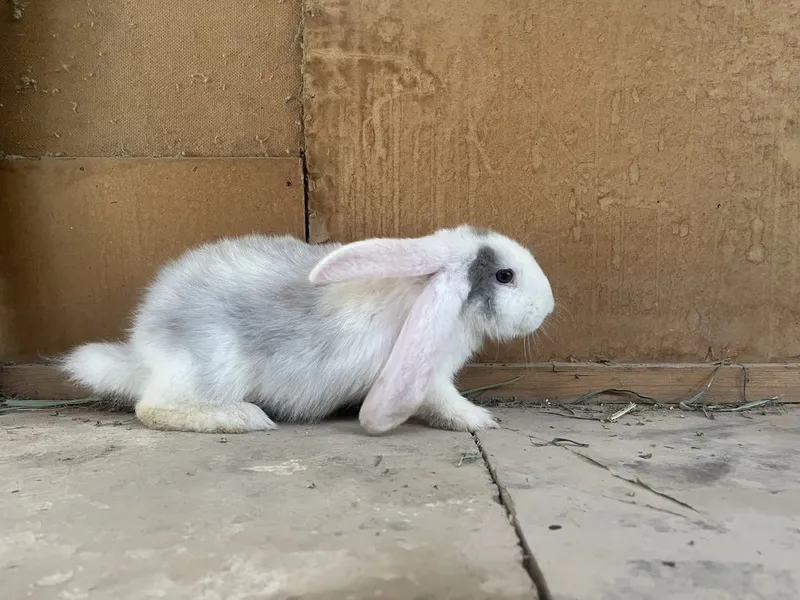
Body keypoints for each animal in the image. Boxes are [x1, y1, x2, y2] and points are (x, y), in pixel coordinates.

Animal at [59, 225, 554, 435]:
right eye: (505, 276)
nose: (547, 307)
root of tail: (144, 349)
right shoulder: (426, 376)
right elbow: (445, 402)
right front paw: (481, 420)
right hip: (212, 367)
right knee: (153, 408)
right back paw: (246, 420)